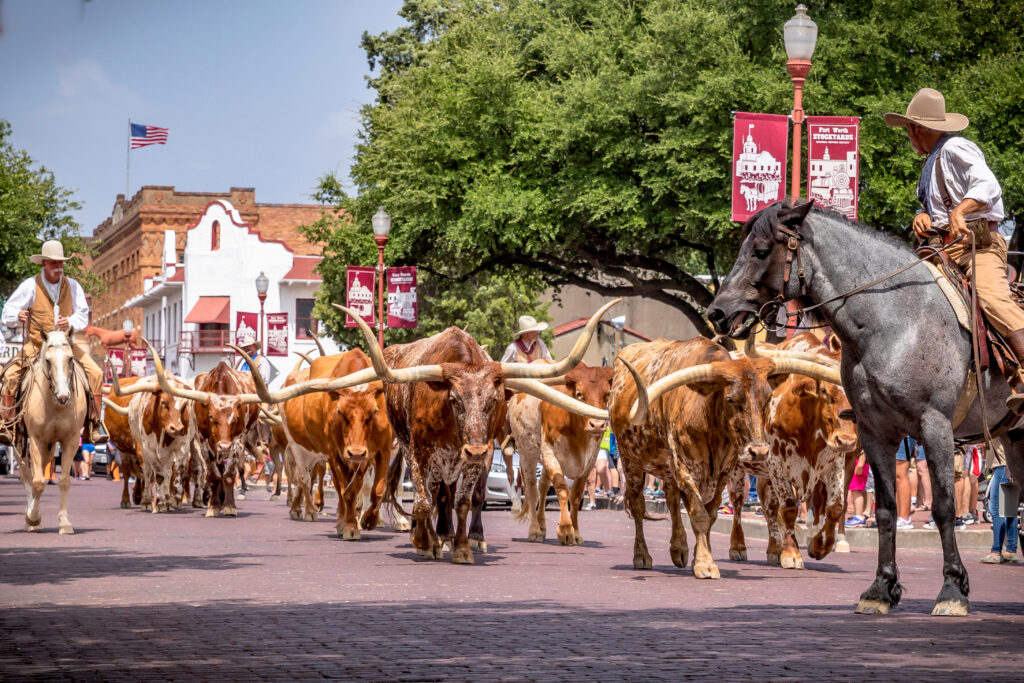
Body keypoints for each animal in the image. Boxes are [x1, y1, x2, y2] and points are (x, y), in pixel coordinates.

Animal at [18, 329, 89, 532]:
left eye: (70, 358)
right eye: (48, 360)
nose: (64, 396)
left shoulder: (71, 440)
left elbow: (64, 481)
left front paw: (64, 522)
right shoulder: (35, 439)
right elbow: (37, 482)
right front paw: (32, 517)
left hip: (49, 446)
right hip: (21, 442)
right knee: (26, 473)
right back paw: (31, 518)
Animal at [712, 201, 1024, 618]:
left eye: (761, 251)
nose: (716, 312)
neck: (895, 322)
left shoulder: (935, 427)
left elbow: (943, 506)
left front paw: (952, 591)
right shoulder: (874, 432)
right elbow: (886, 509)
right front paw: (881, 589)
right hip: (1015, 437)